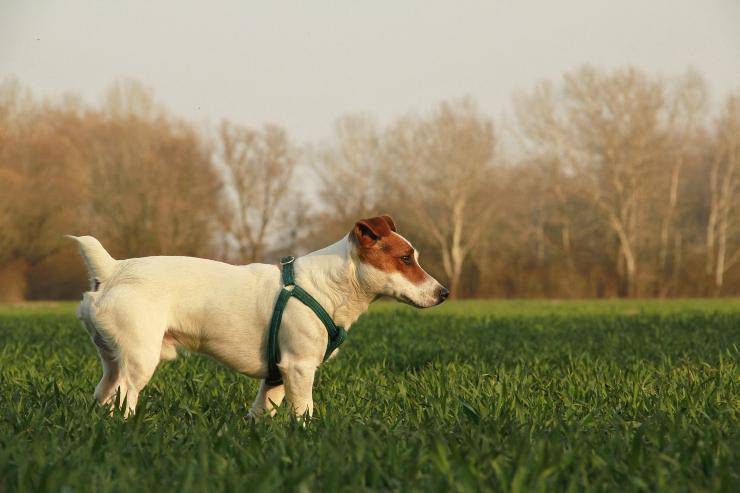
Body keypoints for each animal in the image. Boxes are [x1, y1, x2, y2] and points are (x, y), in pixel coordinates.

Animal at [69, 214, 448, 416]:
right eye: (405, 259)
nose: (444, 293)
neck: (328, 286)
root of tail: (114, 269)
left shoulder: (276, 376)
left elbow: (261, 412)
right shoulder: (299, 367)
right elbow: (304, 412)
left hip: (113, 361)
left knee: (103, 394)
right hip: (140, 361)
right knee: (125, 399)